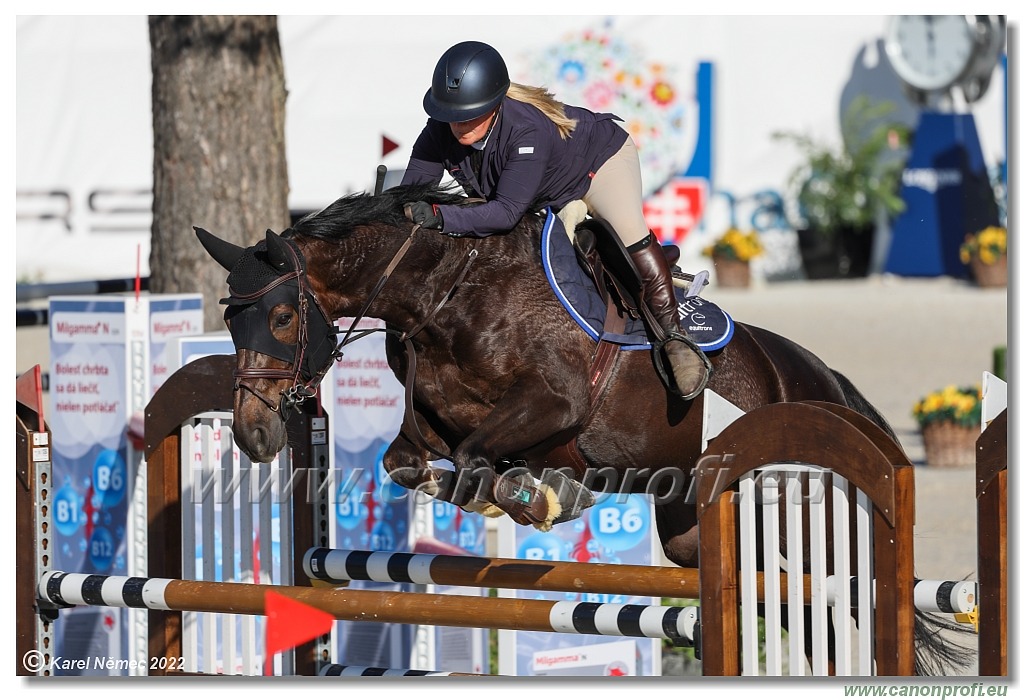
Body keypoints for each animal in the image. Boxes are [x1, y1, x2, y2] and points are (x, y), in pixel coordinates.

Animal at [197, 182, 966, 671]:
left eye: (283, 317)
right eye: (231, 321)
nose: (254, 434)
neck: (445, 293)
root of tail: (825, 385)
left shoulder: (555, 406)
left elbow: (477, 459)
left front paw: (538, 497)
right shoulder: (427, 430)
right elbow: (412, 464)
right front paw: (533, 493)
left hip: (804, 521)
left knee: (843, 604)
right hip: (698, 532)